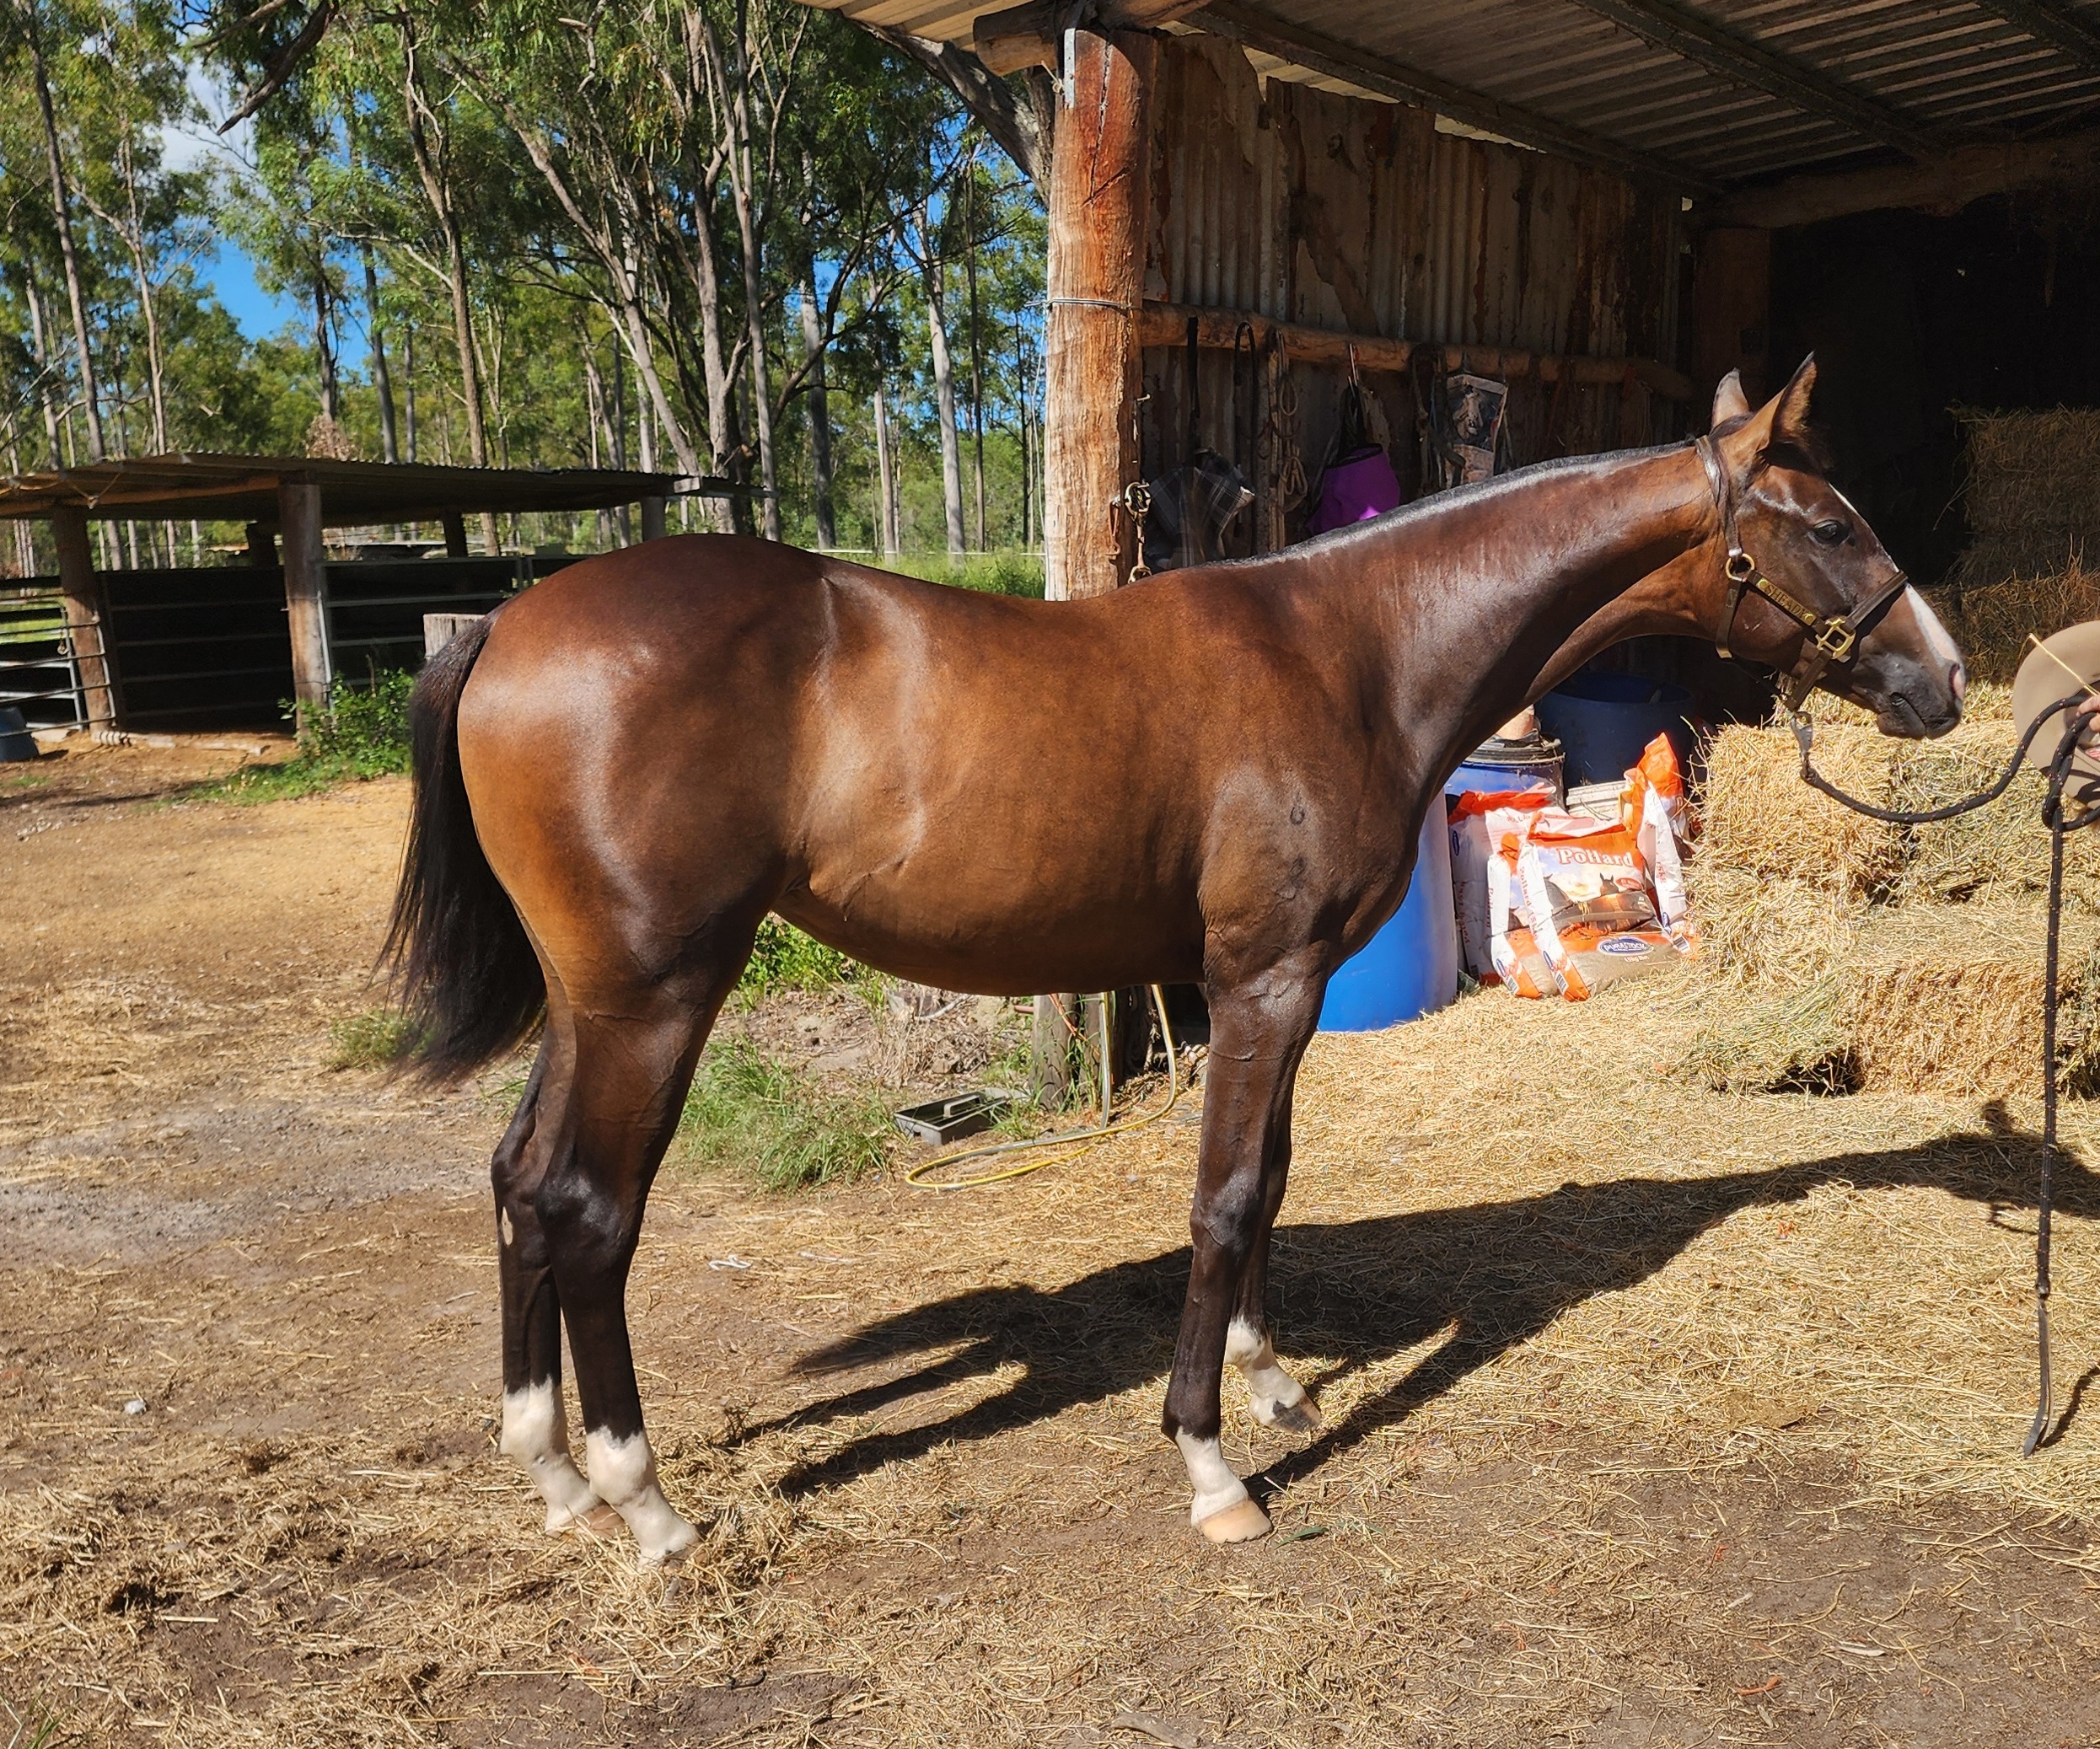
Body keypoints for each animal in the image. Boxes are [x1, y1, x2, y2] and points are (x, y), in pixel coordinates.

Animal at [385, 360, 1964, 1560]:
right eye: (1827, 522)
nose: (1942, 679)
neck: (1349, 651)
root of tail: (509, 623)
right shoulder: (1262, 981)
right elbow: (1223, 1198)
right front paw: (1211, 1467)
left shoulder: (1281, 985)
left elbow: (1270, 1179)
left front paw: (1273, 1386)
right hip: (655, 998)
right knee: (590, 1212)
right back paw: (645, 1503)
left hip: (588, 1002)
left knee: (520, 1182)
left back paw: (554, 1477)